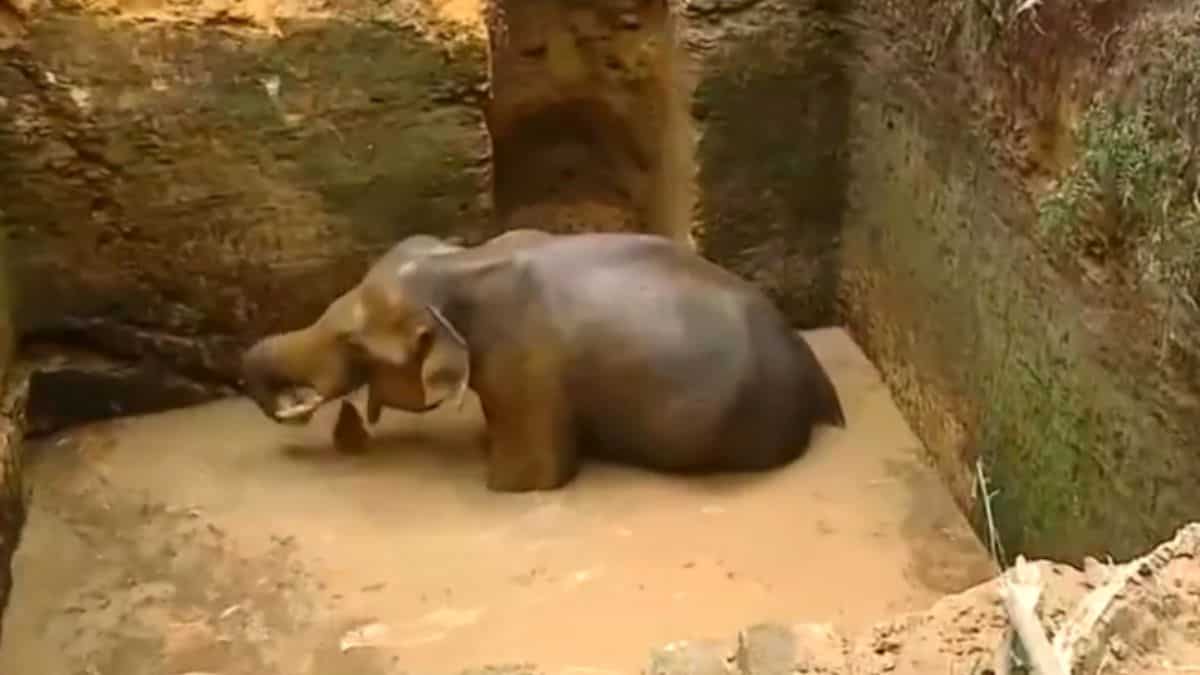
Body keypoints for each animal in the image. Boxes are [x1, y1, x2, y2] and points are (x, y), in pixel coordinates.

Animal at [241, 229, 846, 492]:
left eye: (355, 343)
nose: (297, 405)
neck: (464, 261)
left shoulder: (526, 363)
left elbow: (530, 478)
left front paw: (500, 478)